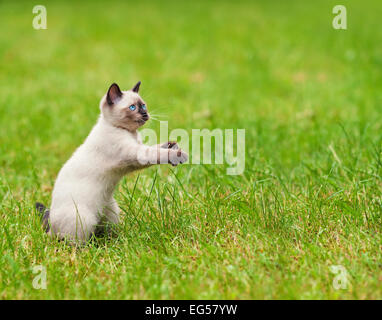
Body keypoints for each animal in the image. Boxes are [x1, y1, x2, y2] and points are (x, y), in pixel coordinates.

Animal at [35, 82, 188, 242]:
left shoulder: (140, 147)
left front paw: (172, 145)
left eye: (143, 105)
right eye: (132, 107)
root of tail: (51, 228)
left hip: (111, 212)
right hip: (84, 220)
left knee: (106, 231)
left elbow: (158, 147)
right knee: (73, 241)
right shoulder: (138, 154)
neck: (129, 133)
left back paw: (117, 239)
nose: (145, 114)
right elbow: (158, 153)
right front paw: (179, 155)